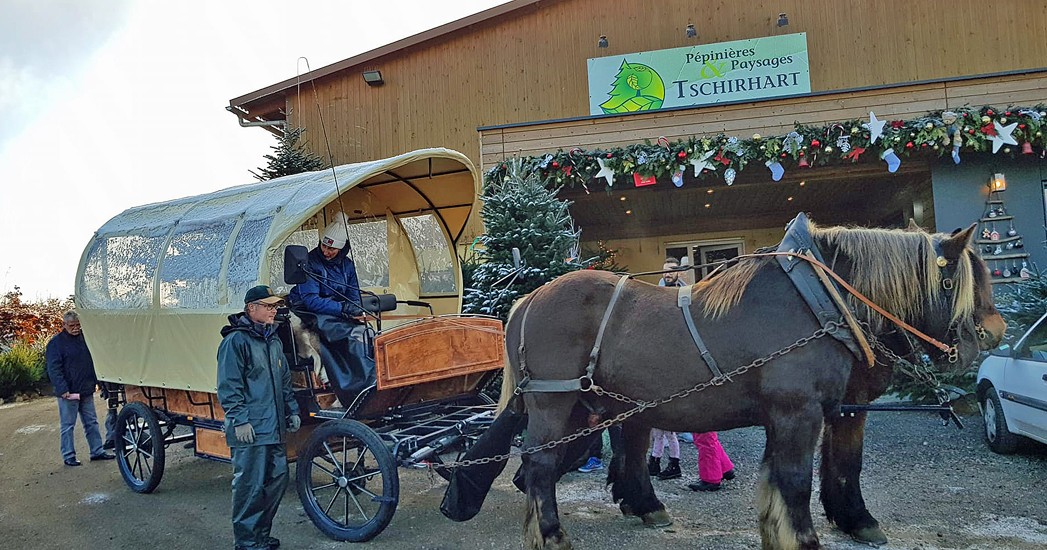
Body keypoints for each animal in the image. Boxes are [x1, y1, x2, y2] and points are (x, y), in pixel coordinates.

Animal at [498, 218, 1005, 548]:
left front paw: (849, 520)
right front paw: (804, 538)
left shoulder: (831, 408)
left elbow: (823, 469)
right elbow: (796, 479)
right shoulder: (799, 410)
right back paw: (552, 534)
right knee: (540, 465)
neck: (823, 301)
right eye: (955, 282)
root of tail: (528, 298)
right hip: (556, 403)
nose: (995, 332)